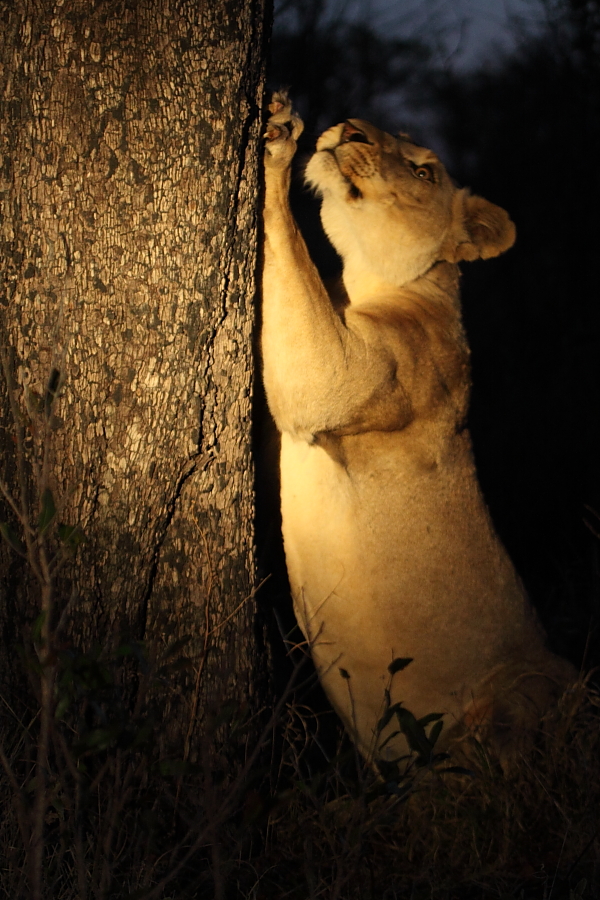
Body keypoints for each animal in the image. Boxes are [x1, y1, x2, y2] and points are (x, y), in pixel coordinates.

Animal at [261, 92, 575, 768]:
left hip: (519, 691)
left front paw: (277, 139)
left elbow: (289, 251)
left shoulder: (337, 373)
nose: (349, 128)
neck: (359, 277)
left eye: (424, 170)